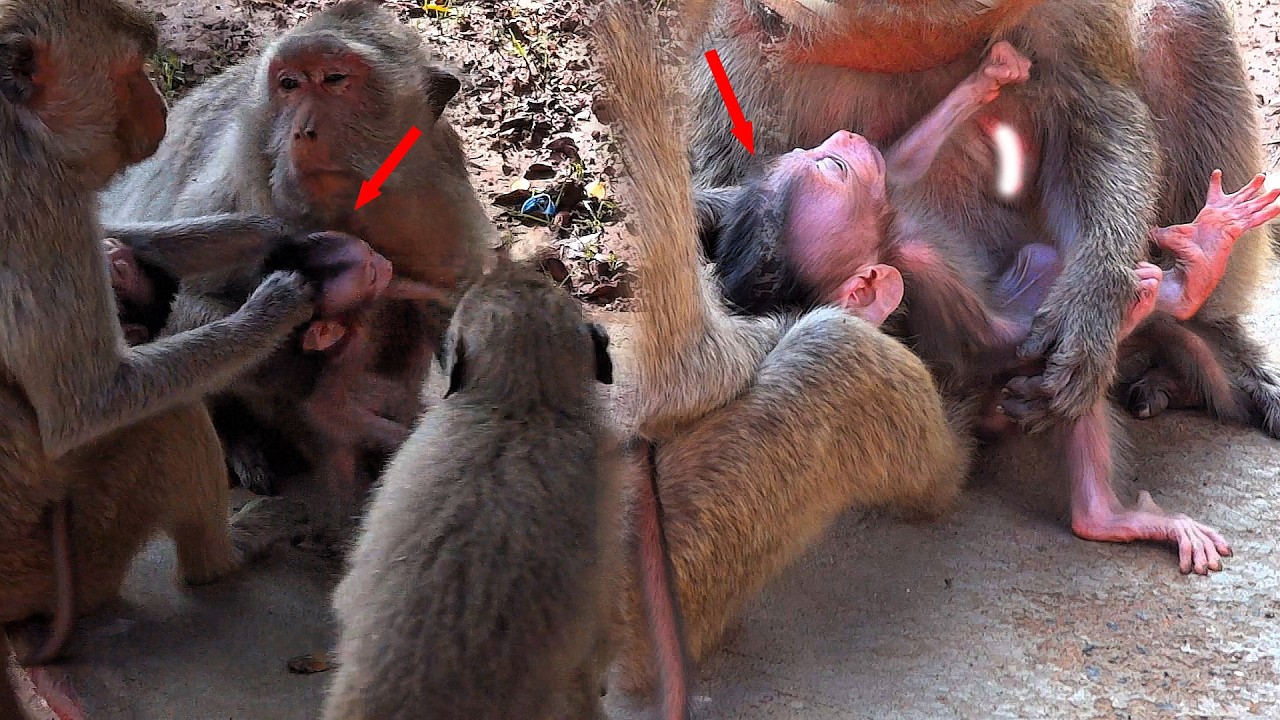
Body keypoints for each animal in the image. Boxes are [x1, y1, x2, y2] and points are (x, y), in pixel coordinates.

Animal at [100, 0, 495, 520]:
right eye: (289, 85)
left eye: (335, 79)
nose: (303, 131)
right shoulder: (235, 183)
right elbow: (186, 301)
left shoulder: (437, 203)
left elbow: (446, 306)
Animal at [595, 0, 973, 697]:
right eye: (834, 170)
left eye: (817, 153)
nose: (844, 141)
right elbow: (678, 375)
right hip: (670, 588)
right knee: (829, 356)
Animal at [691, 0, 1278, 572]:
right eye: (832, 166)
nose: (844, 142)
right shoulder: (739, 31)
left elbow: (1098, 100)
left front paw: (1094, 296)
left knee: (1183, 18)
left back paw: (1193, 312)